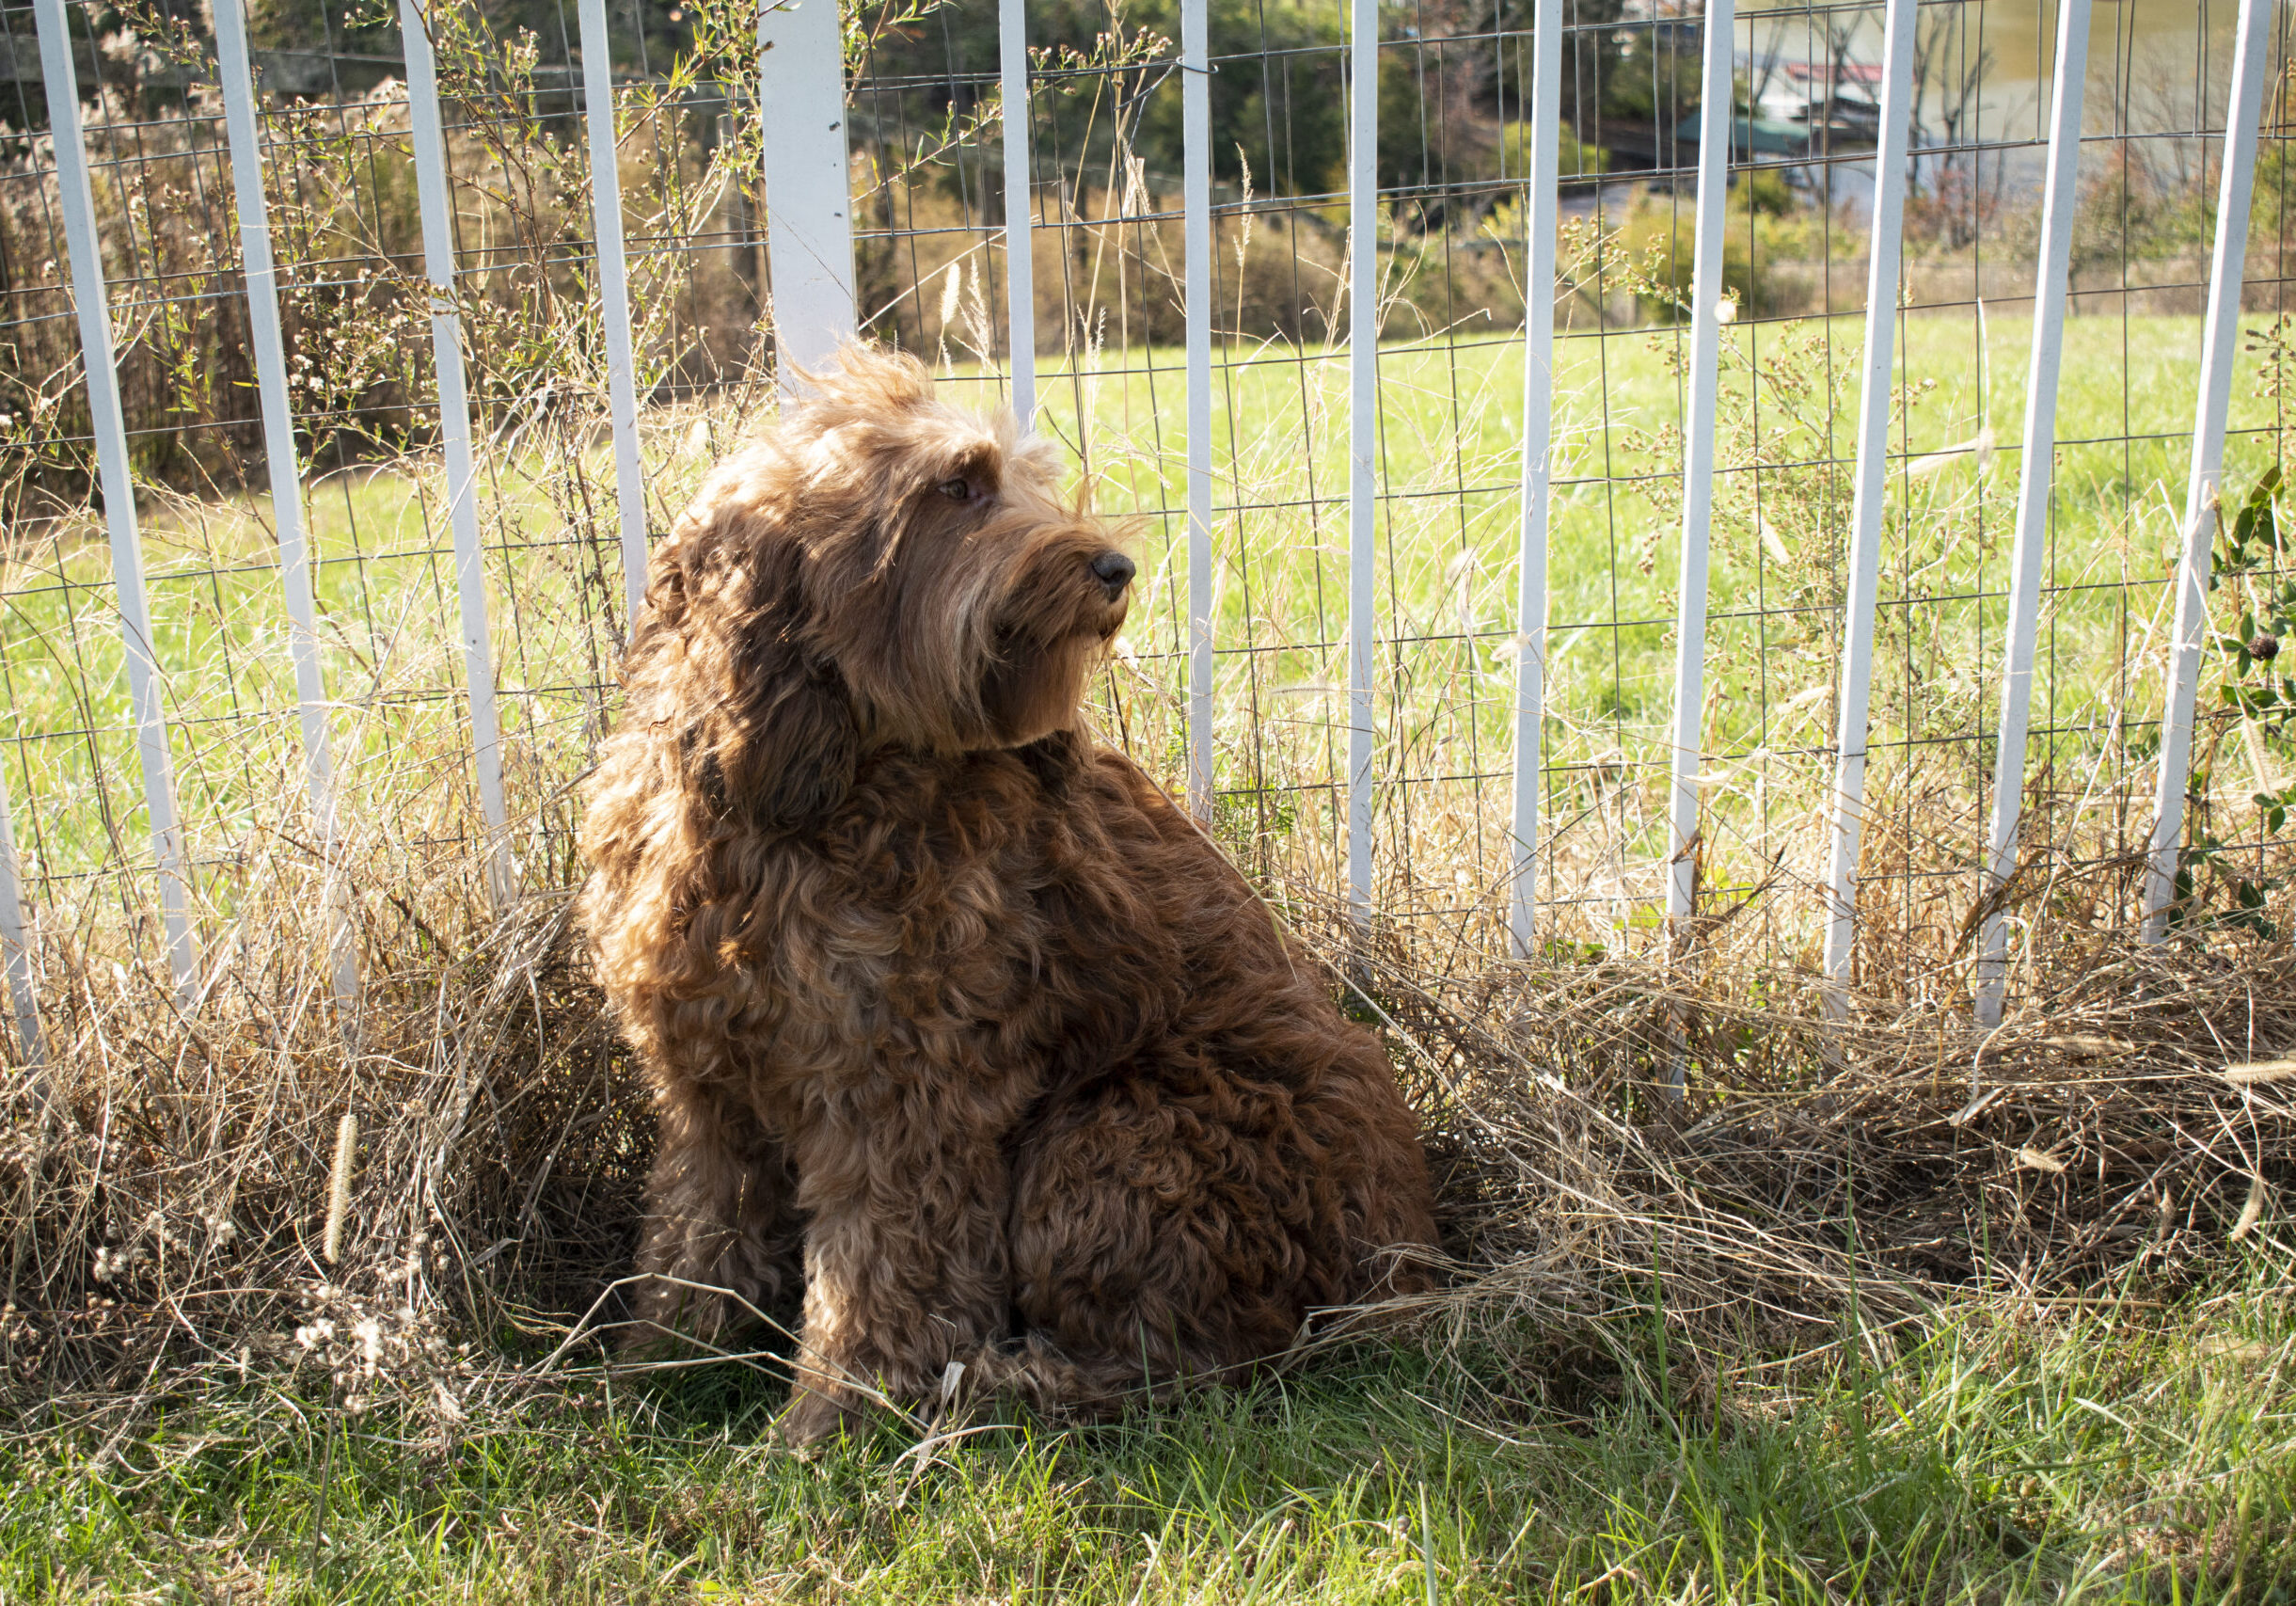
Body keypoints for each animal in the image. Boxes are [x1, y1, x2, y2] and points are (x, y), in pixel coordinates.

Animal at [574, 349, 1433, 1442]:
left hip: (1116, 1131)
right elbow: (696, 1234)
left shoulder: (904, 1098)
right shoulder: (703, 1085)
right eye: (956, 487)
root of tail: (1405, 1264)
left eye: (1021, 481)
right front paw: (661, 1366)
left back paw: (1001, 1384)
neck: (818, 790)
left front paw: (835, 1413)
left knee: (1184, 1363)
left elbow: (882, 1270)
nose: (1113, 569)